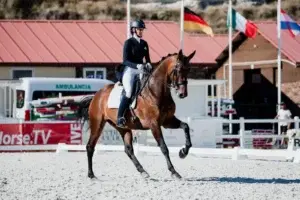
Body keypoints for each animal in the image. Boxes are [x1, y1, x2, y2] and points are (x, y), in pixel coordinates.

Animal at [76, 48, 196, 180]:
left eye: (188, 69)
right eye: (178, 69)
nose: (183, 94)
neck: (155, 92)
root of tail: (96, 95)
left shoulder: (167, 121)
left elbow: (186, 126)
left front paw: (183, 152)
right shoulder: (154, 124)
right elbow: (163, 147)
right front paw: (174, 171)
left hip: (123, 128)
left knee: (128, 150)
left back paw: (143, 171)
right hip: (97, 124)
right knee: (90, 146)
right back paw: (91, 174)